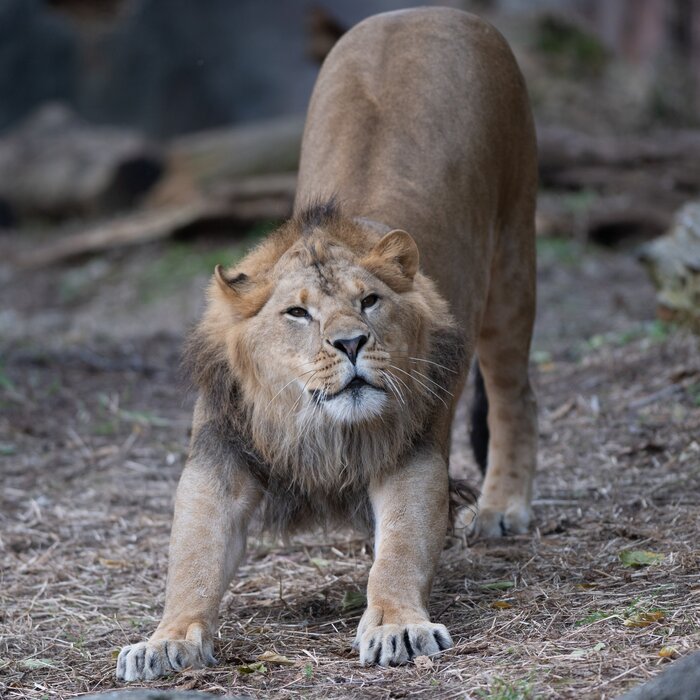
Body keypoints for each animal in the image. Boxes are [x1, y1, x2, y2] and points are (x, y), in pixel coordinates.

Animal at [116, 6, 537, 680]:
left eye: (369, 302)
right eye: (297, 313)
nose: (351, 344)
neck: (318, 426)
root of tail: (426, 11)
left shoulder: (412, 452)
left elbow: (401, 552)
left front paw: (397, 626)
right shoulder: (220, 458)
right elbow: (193, 560)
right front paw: (166, 640)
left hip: (513, 260)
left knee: (512, 394)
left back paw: (504, 506)